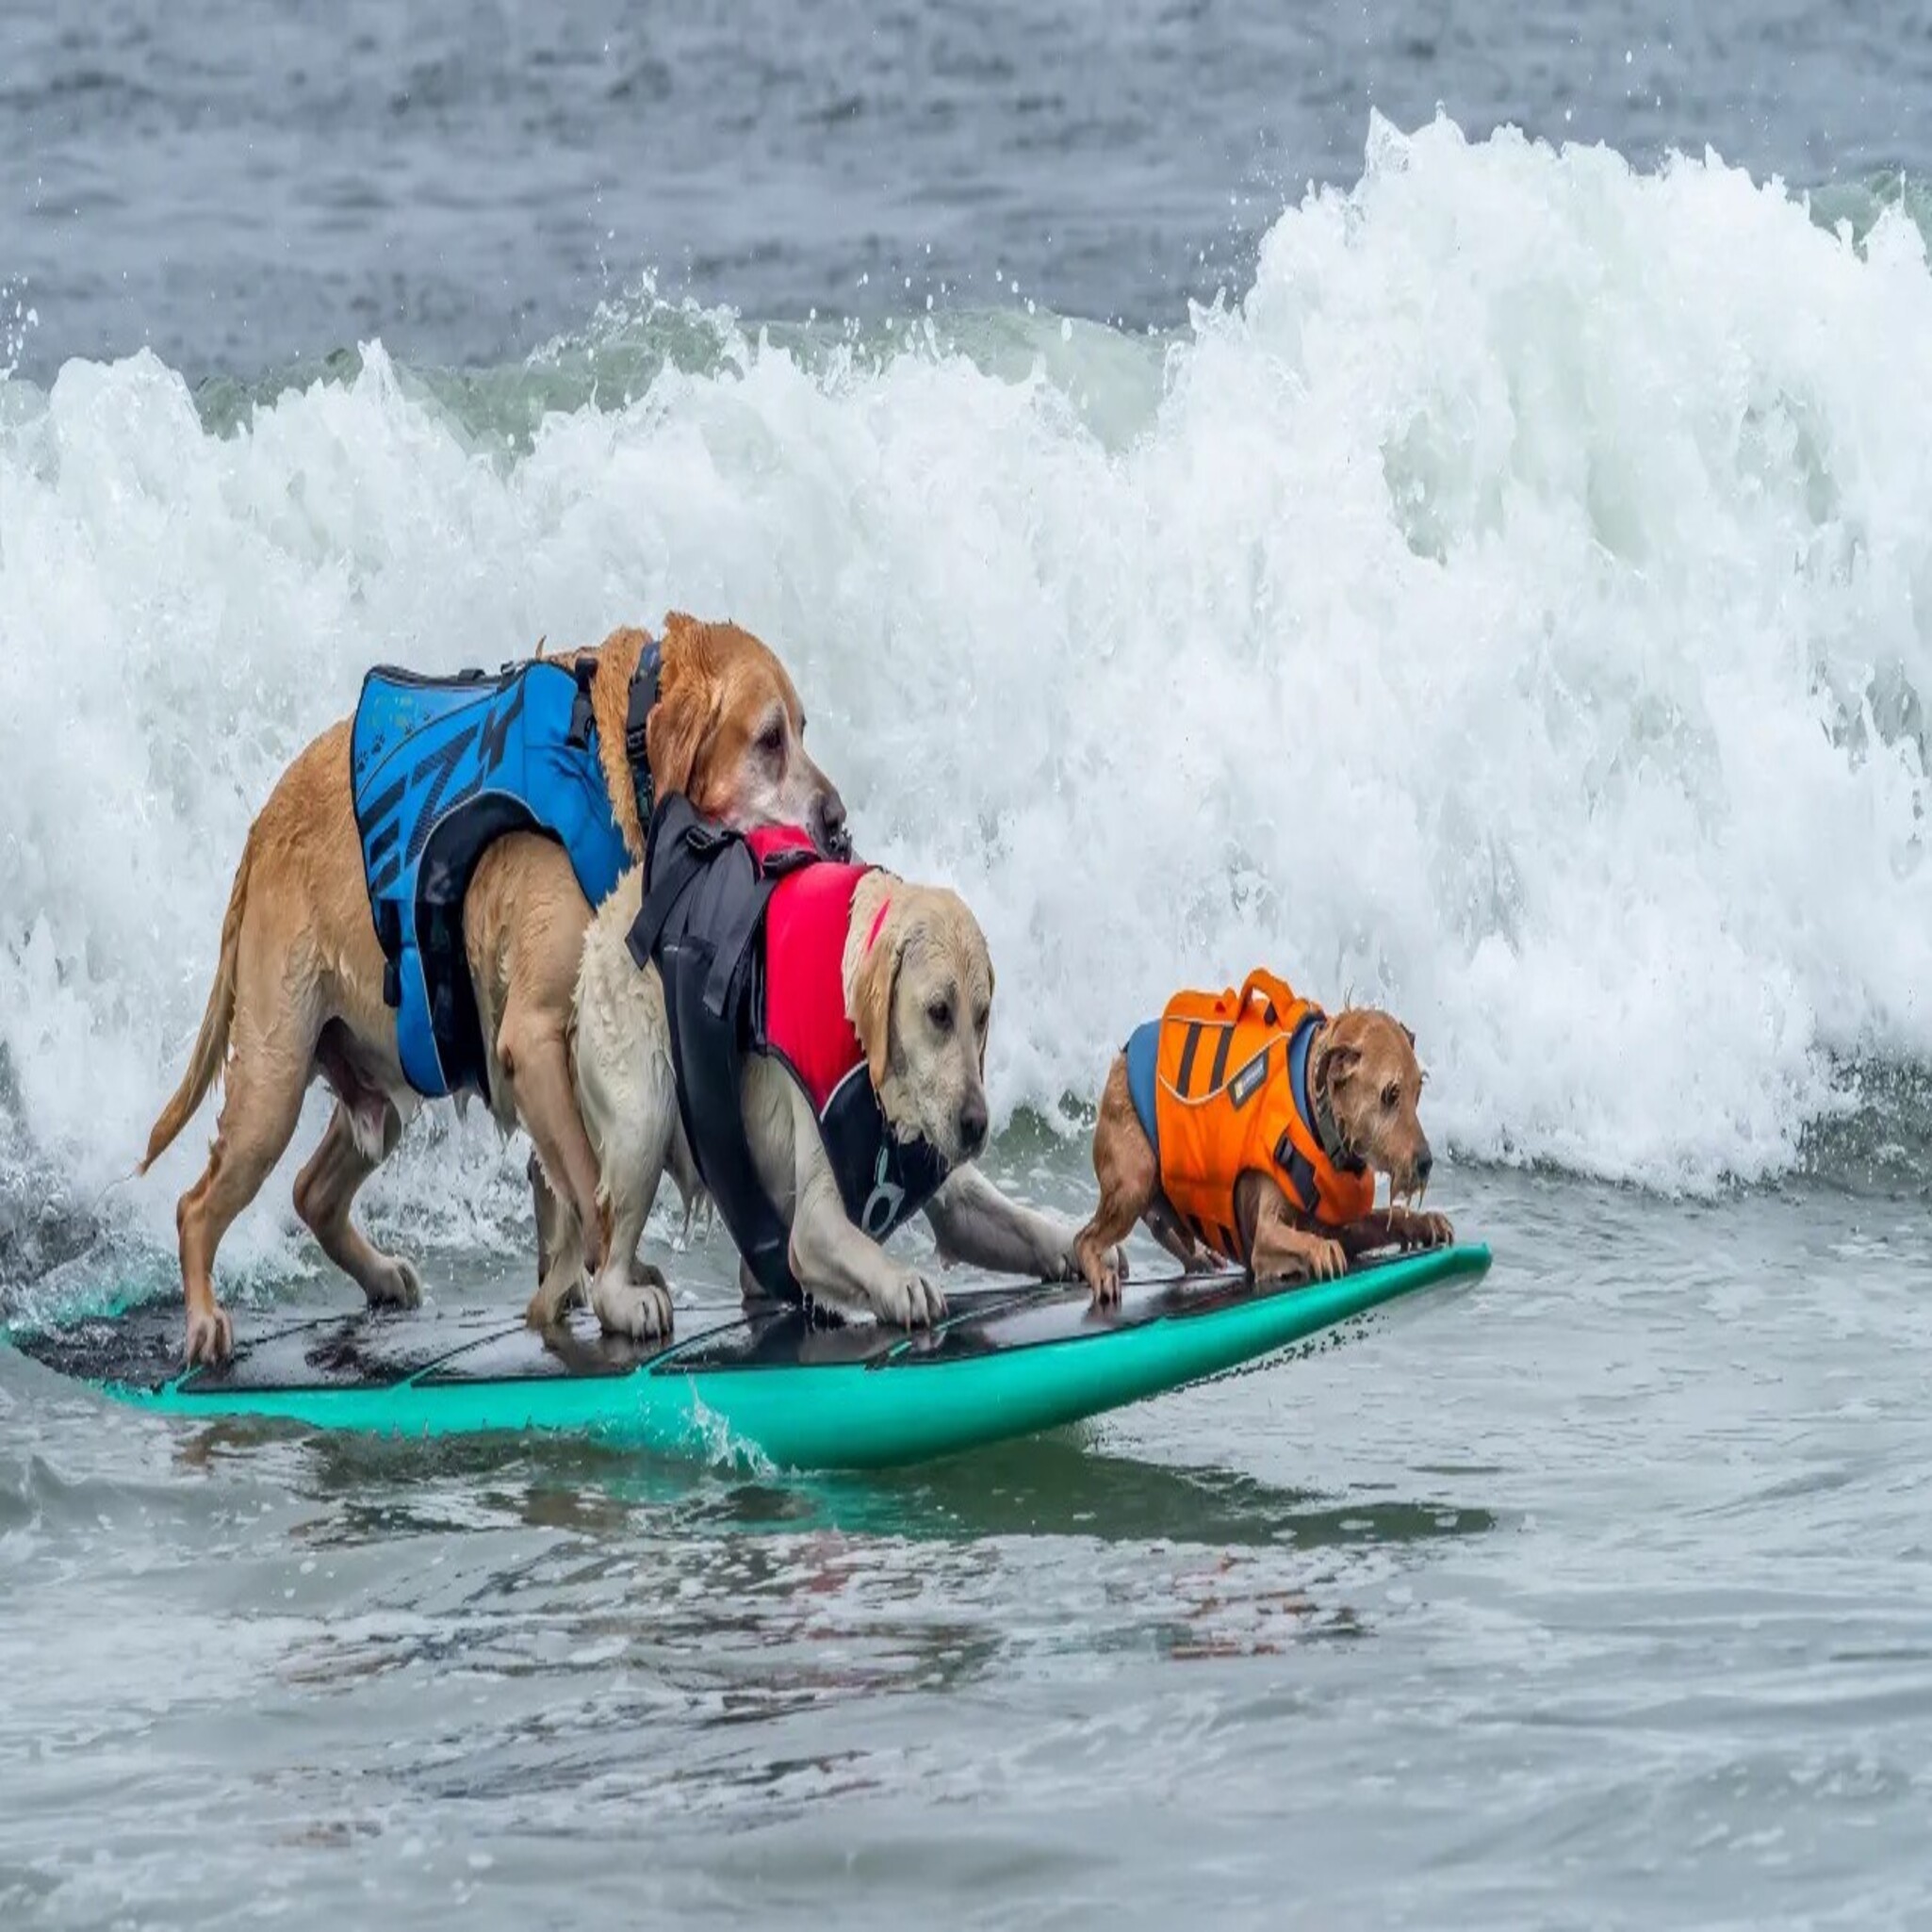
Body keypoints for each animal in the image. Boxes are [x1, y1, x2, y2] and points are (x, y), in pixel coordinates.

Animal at [139, 614, 850, 1360]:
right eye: (769, 739)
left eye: (803, 728)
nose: (840, 826)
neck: (617, 757)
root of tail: (261, 829)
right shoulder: (531, 1037)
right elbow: (588, 1181)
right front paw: (619, 1288)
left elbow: (563, 1184)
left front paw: (570, 1284)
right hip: (272, 1087)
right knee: (197, 1206)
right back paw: (203, 1318)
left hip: (383, 1090)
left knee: (311, 1191)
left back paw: (380, 1274)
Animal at [545, 807, 1105, 1336]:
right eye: (939, 1012)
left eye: (983, 1015)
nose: (976, 1126)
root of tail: (605, 916)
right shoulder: (815, 1225)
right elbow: (858, 1249)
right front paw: (904, 1282)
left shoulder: (956, 1199)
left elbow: (1020, 1221)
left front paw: (1080, 1243)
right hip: (642, 1119)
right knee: (607, 1269)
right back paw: (633, 1301)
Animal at [1073, 974, 1452, 1305]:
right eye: (1390, 1094)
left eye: (1418, 1091)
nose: (1425, 1163)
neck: (1314, 1110)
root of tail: (1121, 1057)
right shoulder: (1265, 1237)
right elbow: (1293, 1240)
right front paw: (1322, 1250)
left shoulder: (1343, 1224)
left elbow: (1383, 1219)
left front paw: (1424, 1222)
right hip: (1134, 1179)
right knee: (1085, 1238)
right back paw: (1103, 1273)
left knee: (1162, 1226)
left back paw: (1199, 1258)